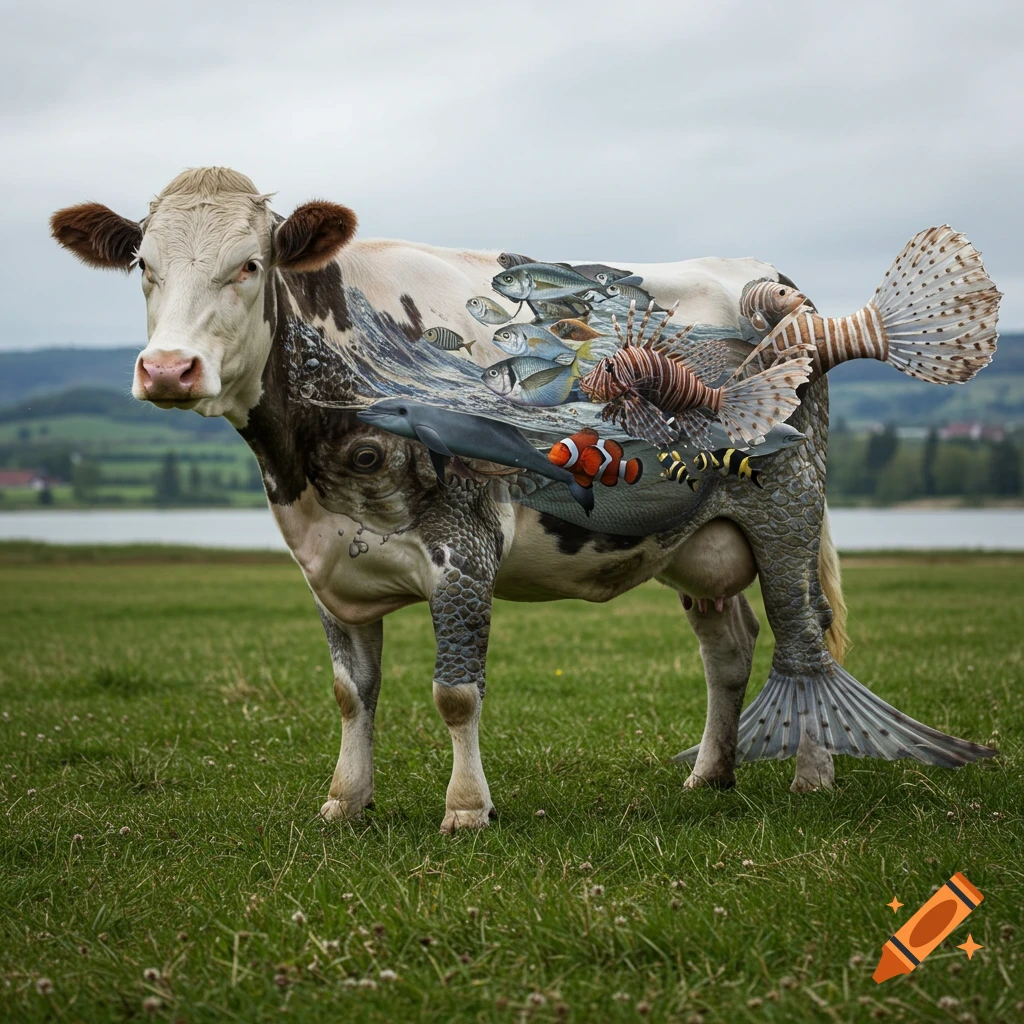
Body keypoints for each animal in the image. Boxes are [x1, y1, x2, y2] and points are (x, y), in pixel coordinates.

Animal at [50, 167, 996, 833]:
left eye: (249, 265)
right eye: (144, 266)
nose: (168, 369)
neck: (306, 460)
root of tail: (781, 285)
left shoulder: (463, 551)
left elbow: (455, 693)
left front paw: (467, 808)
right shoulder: (326, 568)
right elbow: (352, 694)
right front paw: (344, 801)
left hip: (788, 515)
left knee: (805, 631)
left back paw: (811, 775)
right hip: (696, 538)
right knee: (727, 649)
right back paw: (710, 774)